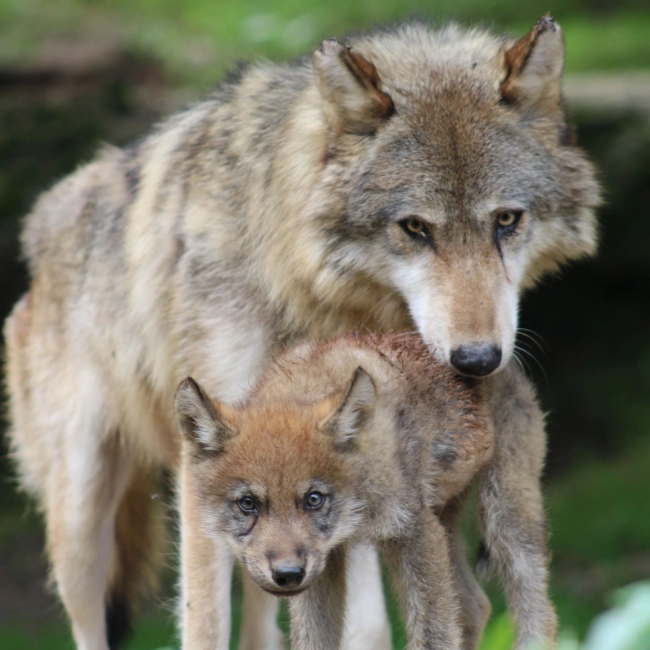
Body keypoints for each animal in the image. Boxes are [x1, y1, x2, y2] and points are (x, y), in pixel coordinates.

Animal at [174, 331, 543, 650]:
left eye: (313, 500)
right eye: (248, 503)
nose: (288, 574)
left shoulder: (415, 533)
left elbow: (433, 637)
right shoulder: (329, 562)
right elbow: (312, 641)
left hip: (504, 527)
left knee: (540, 614)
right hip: (448, 531)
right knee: (476, 607)